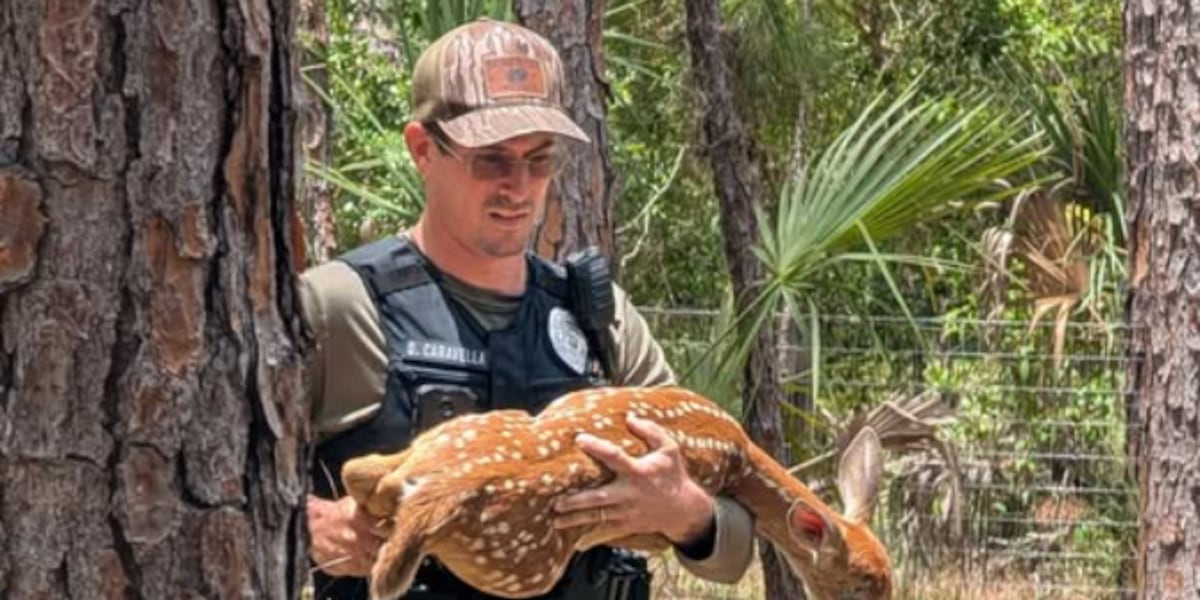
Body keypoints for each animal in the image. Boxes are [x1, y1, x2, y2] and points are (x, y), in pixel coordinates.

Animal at [342, 386, 894, 600]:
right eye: (861, 584)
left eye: (888, 577)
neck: (741, 457)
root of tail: (444, 490)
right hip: (524, 566)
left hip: (455, 431)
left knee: (361, 473)